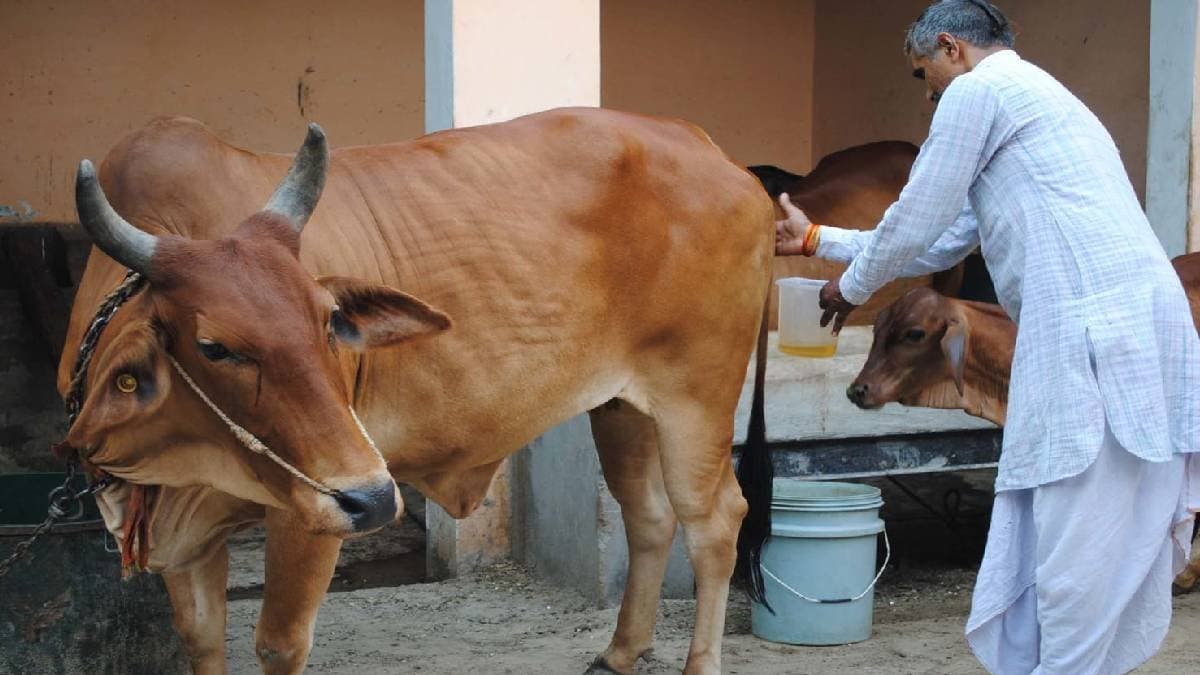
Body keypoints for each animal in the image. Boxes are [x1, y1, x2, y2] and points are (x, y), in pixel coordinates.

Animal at [59, 108, 775, 675]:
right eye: (212, 346)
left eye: (329, 321)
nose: (375, 498)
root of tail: (708, 148)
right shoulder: (185, 531)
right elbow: (201, 641)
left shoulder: (308, 513)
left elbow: (277, 644)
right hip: (621, 405)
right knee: (647, 515)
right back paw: (621, 652)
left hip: (698, 397)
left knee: (715, 521)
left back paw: (698, 663)